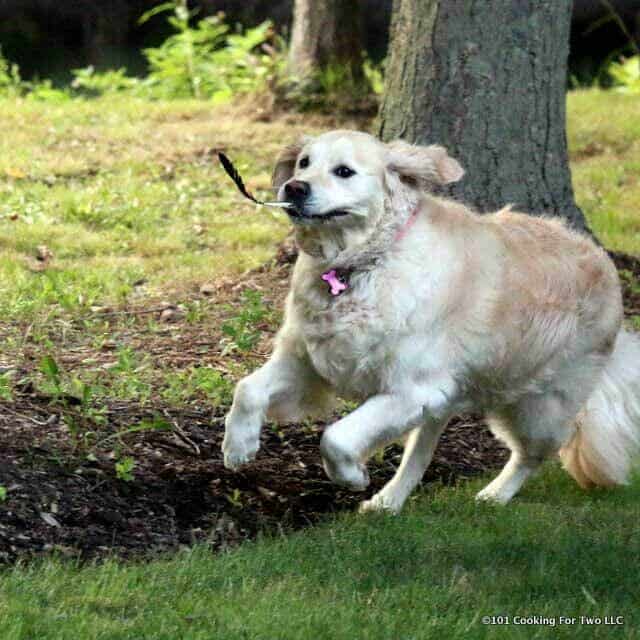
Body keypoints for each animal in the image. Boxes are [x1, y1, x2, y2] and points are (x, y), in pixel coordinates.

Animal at [221, 131, 640, 516]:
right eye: (303, 163)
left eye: (344, 171)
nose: (294, 187)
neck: (362, 264)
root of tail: (604, 264)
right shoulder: (307, 362)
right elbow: (247, 390)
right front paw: (238, 446)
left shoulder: (410, 389)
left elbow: (335, 437)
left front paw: (351, 475)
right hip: (448, 397)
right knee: (420, 454)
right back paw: (388, 502)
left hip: (535, 405)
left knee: (534, 454)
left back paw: (495, 494)